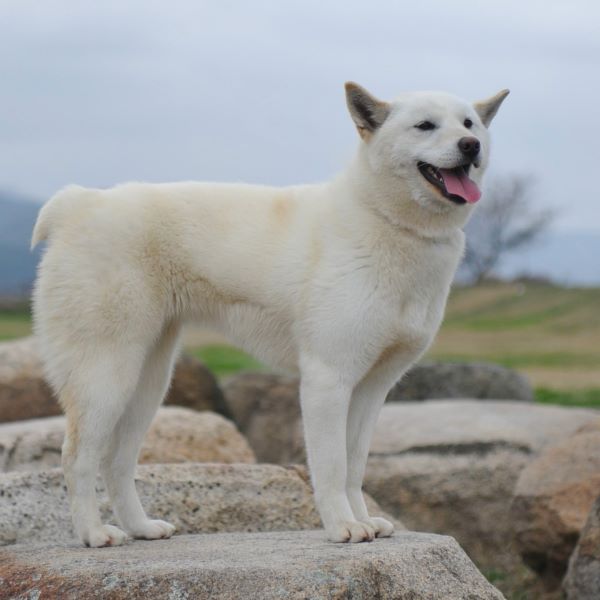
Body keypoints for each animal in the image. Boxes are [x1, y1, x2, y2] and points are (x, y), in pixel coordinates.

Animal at [29, 82, 506, 548]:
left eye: (469, 124)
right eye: (425, 126)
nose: (470, 145)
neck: (386, 220)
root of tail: (79, 203)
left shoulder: (372, 389)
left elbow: (355, 466)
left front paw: (365, 520)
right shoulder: (327, 380)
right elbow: (332, 467)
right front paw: (343, 527)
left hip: (148, 382)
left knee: (117, 461)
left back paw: (141, 528)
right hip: (106, 376)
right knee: (76, 457)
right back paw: (93, 533)